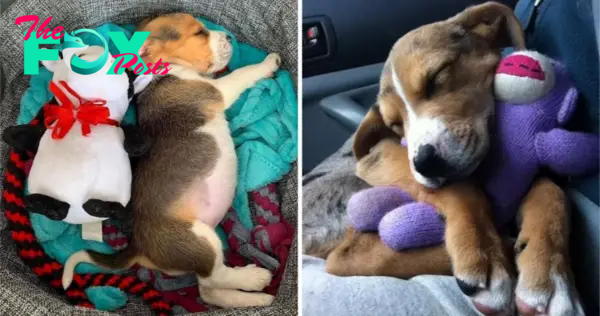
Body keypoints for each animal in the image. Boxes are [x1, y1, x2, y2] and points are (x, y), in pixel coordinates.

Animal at [62, 13, 282, 308]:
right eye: (199, 33)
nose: (228, 37)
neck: (160, 72)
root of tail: (139, 246)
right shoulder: (216, 90)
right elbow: (242, 73)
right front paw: (267, 63)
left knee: (209, 291)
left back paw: (256, 299)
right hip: (201, 240)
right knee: (216, 277)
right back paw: (254, 278)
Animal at [328, 2, 580, 316]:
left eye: (437, 77)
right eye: (395, 125)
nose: (425, 163)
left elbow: (552, 192)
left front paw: (548, 269)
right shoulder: (378, 157)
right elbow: (462, 189)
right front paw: (484, 253)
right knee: (350, 256)